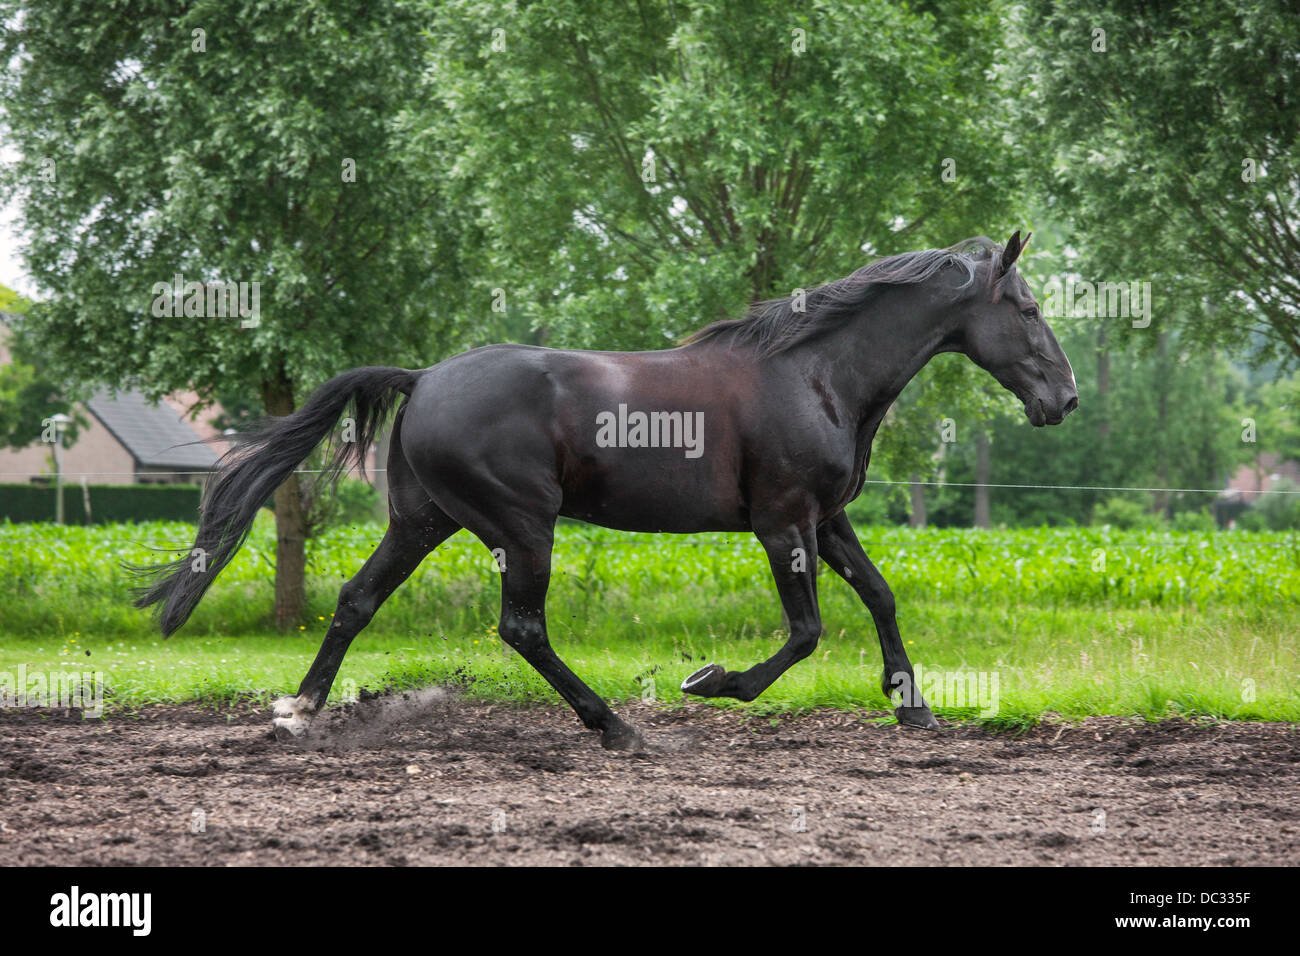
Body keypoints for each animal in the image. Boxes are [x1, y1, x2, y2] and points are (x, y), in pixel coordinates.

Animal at [137, 231, 1081, 749]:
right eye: (1030, 311)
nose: (1065, 399)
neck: (814, 374)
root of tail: (423, 377)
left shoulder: (828, 516)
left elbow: (881, 596)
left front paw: (913, 708)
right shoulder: (783, 522)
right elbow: (807, 632)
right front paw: (709, 680)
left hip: (424, 520)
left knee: (357, 600)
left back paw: (300, 710)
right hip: (521, 525)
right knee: (521, 627)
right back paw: (617, 725)